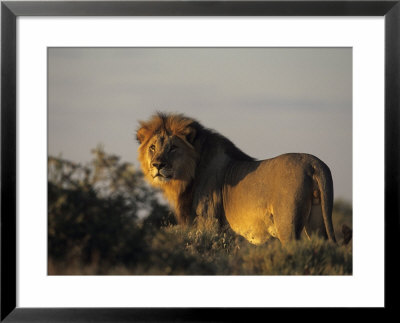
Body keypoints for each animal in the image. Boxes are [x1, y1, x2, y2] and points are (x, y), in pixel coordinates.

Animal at [136, 112, 336, 246]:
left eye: (173, 148)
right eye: (152, 147)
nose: (158, 165)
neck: (187, 176)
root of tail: (313, 163)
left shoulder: (208, 221)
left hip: (288, 225)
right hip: (317, 224)